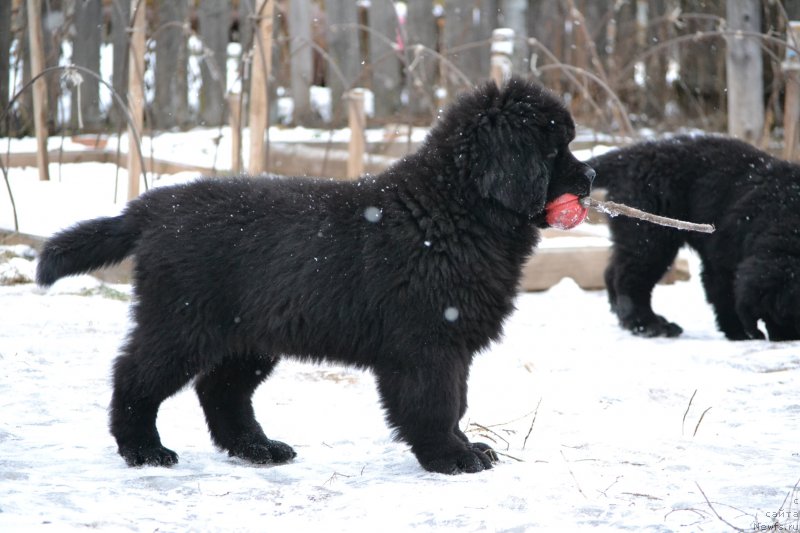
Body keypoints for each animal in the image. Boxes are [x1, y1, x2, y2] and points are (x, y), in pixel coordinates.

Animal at [36, 77, 592, 472]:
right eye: (552, 150)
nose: (590, 176)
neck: (451, 210)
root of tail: (155, 205)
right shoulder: (426, 344)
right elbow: (435, 404)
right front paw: (451, 458)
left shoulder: (452, 345)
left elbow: (456, 402)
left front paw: (467, 447)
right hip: (182, 322)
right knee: (135, 377)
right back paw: (145, 450)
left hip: (248, 335)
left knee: (221, 390)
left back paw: (258, 448)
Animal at [588, 135, 800, 338]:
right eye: (775, 316)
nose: (785, 339)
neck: (783, 212)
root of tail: (634, 154)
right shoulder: (721, 256)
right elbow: (724, 294)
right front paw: (738, 333)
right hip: (650, 234)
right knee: (630, 278)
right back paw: (650, 325)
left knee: (613, 272)